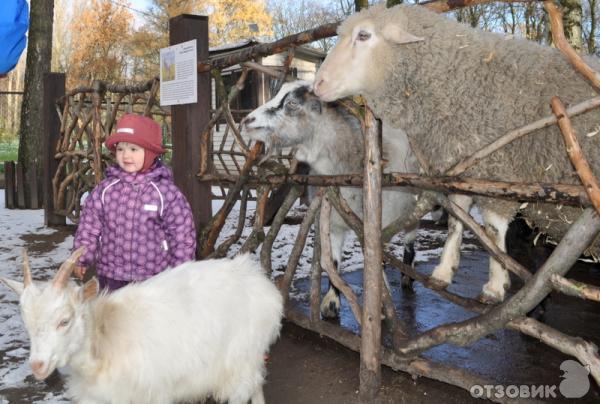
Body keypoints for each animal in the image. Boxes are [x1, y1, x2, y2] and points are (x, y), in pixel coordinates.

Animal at [0, 249, 284, 404]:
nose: (37, 365)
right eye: (26, 323)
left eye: (64, 320)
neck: (105, 339)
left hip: (240, 359)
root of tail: (259, 280)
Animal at [241, 79, 420, 318]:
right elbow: (332, 263)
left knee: (410, 238)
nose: (247, 121)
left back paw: (407, 277)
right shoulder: (333, 223)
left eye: (292, 103)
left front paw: (381, 305)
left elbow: (375, 259)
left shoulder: (376, 226)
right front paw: (331, 304)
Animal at [312, 2, 600, 300]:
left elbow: (493, 230)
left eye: (364, 35)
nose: (316, 85)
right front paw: (444, 271)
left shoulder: (498, 171)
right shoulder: (461, 169)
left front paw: (496, 286)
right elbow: (455, 221)